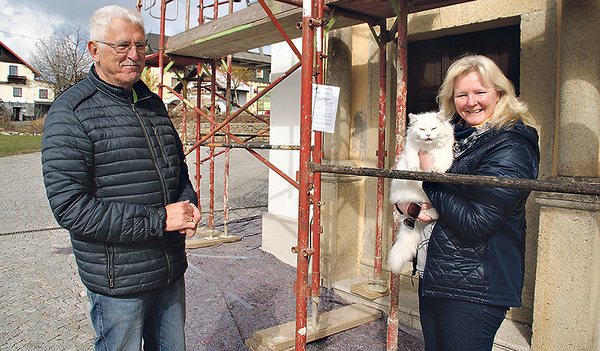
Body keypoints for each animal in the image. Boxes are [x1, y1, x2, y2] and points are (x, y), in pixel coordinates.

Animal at [390, 110, 454, 276]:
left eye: (433, 128)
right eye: (422, 129)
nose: (428, 135)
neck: (428, 147)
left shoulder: (443, 153)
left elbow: (440, 163)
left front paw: (435, 169)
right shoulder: (411, 150)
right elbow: (413, 161)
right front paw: (414, 169)